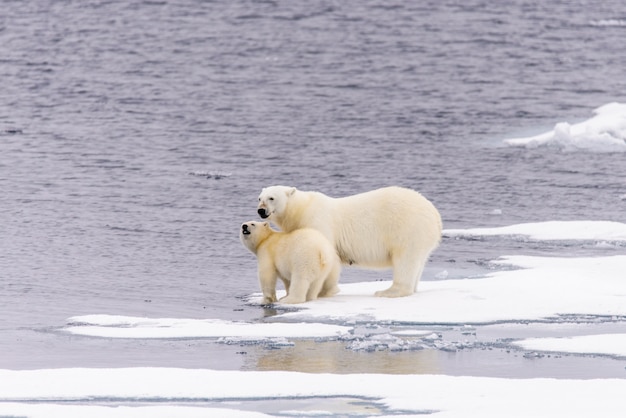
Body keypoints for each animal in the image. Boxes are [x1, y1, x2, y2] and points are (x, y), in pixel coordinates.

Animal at [256, 185, 442, 298]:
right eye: (259, 197)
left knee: (405, 260)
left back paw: (388, 291)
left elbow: (328, 255)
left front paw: (325, 291)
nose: (261, 210)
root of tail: (435, 215)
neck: (301, 209)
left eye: (271, 198)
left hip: (407, 229)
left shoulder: (318, 222)